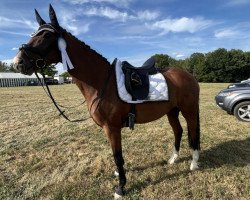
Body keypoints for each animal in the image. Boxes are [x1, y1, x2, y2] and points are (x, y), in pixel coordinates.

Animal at [12, 4, 200, 198]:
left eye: (46, 36)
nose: (18, 62)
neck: (101, 82)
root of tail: (188, 75)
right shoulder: (108, 129)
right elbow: (116, 156)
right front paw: (119, 174)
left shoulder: (112, 128)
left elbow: (117, 156)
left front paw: (120, 188)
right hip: (172, 111)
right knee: (178, 131)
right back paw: (173, 159)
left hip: (189, 111)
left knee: (193, 131)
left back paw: (194, 163)